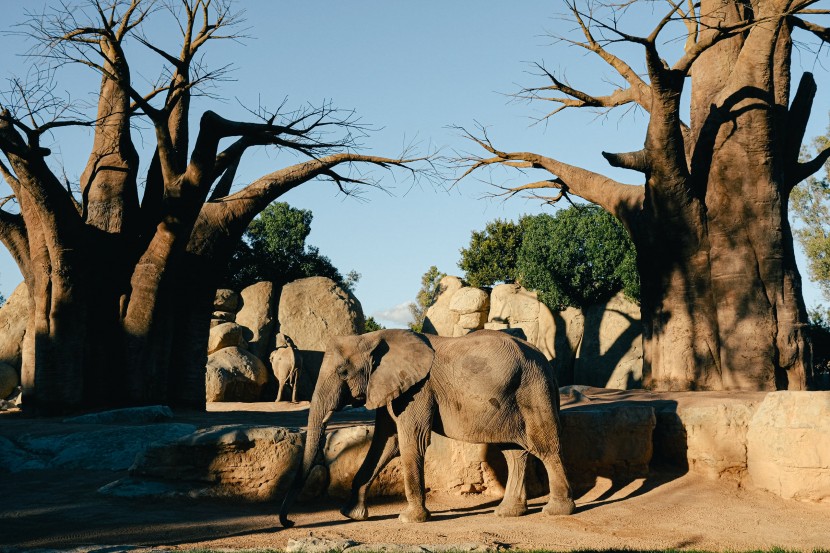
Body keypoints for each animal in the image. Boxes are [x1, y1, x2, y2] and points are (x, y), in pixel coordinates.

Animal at [280, 330, 572, 524]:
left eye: (343, 373)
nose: (291, 522)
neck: (374, 337)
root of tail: (545, 360)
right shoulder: (392, 387)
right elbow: (385, 442)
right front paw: (352, 514)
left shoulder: (418, 389)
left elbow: (410, 440)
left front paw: (409, 518)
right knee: (514, 452)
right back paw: (507, 512)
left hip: (534, 389)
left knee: (546, 447)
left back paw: (556, 511)